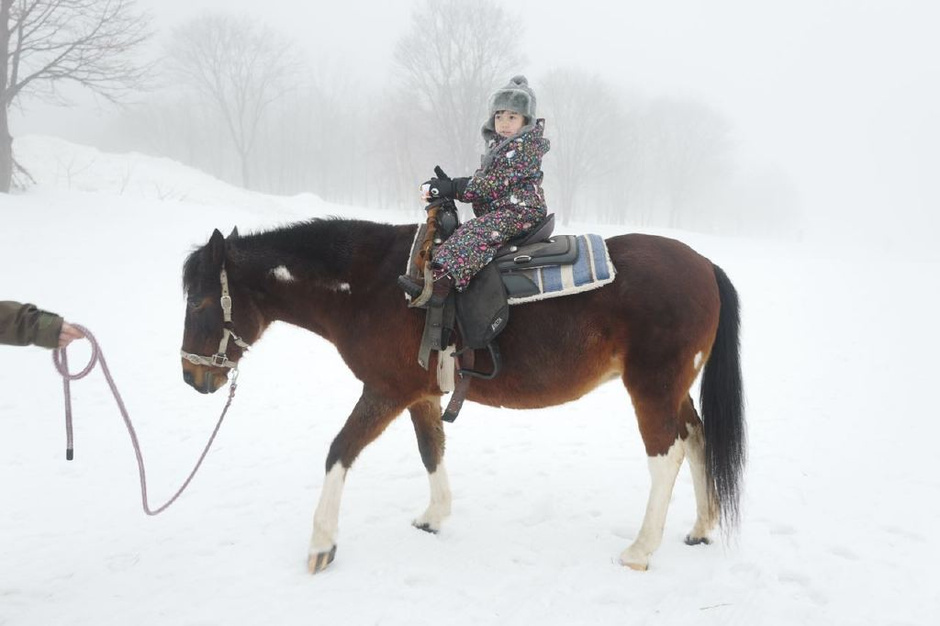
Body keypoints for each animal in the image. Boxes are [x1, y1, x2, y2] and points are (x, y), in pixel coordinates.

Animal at [180, 217, 744, 572]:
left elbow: (340, 451)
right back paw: (700, 526)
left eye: (202, 302)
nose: (191, 376)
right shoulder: (421, 395)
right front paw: (435, 516)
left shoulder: (384, 391)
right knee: (697, 438)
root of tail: (704, 265)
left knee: (666, 456)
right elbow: (431, 448)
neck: (371, 286)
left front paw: (322, 543)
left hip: (652, 386)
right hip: (674, 389)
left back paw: (641, 549)